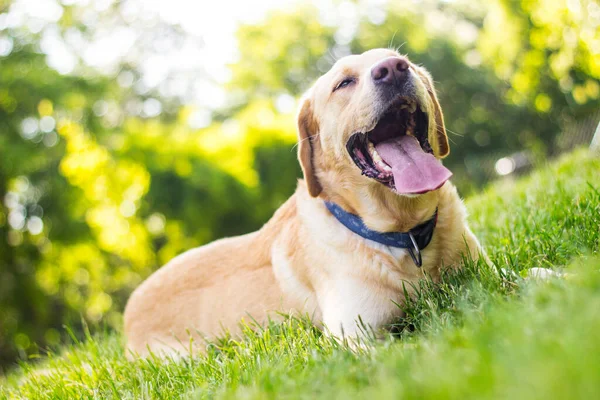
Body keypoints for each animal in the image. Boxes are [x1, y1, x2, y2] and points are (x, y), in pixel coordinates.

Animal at [124, 48, 486, 358]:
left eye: (404, 61)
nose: (393, 69)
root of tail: (130, 306)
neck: (405, 234)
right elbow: (409, 347)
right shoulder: (353, 334)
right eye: (344, 83)